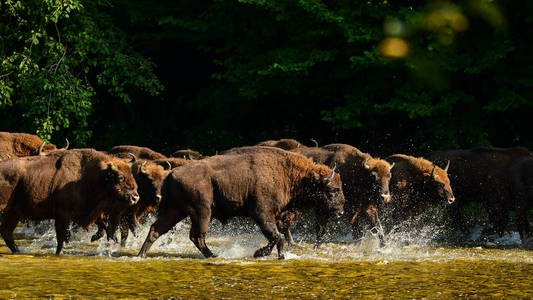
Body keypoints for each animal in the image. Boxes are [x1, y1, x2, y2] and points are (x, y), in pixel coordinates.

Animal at [0, 149, 139, 254]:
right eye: (120, 177)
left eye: (131, 174)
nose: (135, 198)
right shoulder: (62, 215)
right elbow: (62, 236)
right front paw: (60, 252)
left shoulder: (92, 213)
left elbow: (105, 228)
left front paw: (98, 239)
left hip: (13, 212)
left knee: (7, 232)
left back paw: (18, 251)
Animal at [138, 146, 344, 258]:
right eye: (332, 189)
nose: (340, 211)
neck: (292, 176)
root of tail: (171, 173)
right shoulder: (262, 214)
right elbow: (277, 236)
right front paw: (264, 254)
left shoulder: (274, 218)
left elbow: (277, 237)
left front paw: (272, 254)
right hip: (202, 212)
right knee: (197, 236)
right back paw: (213, 255)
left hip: (175, 211)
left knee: (156, 229)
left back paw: (141, 255)